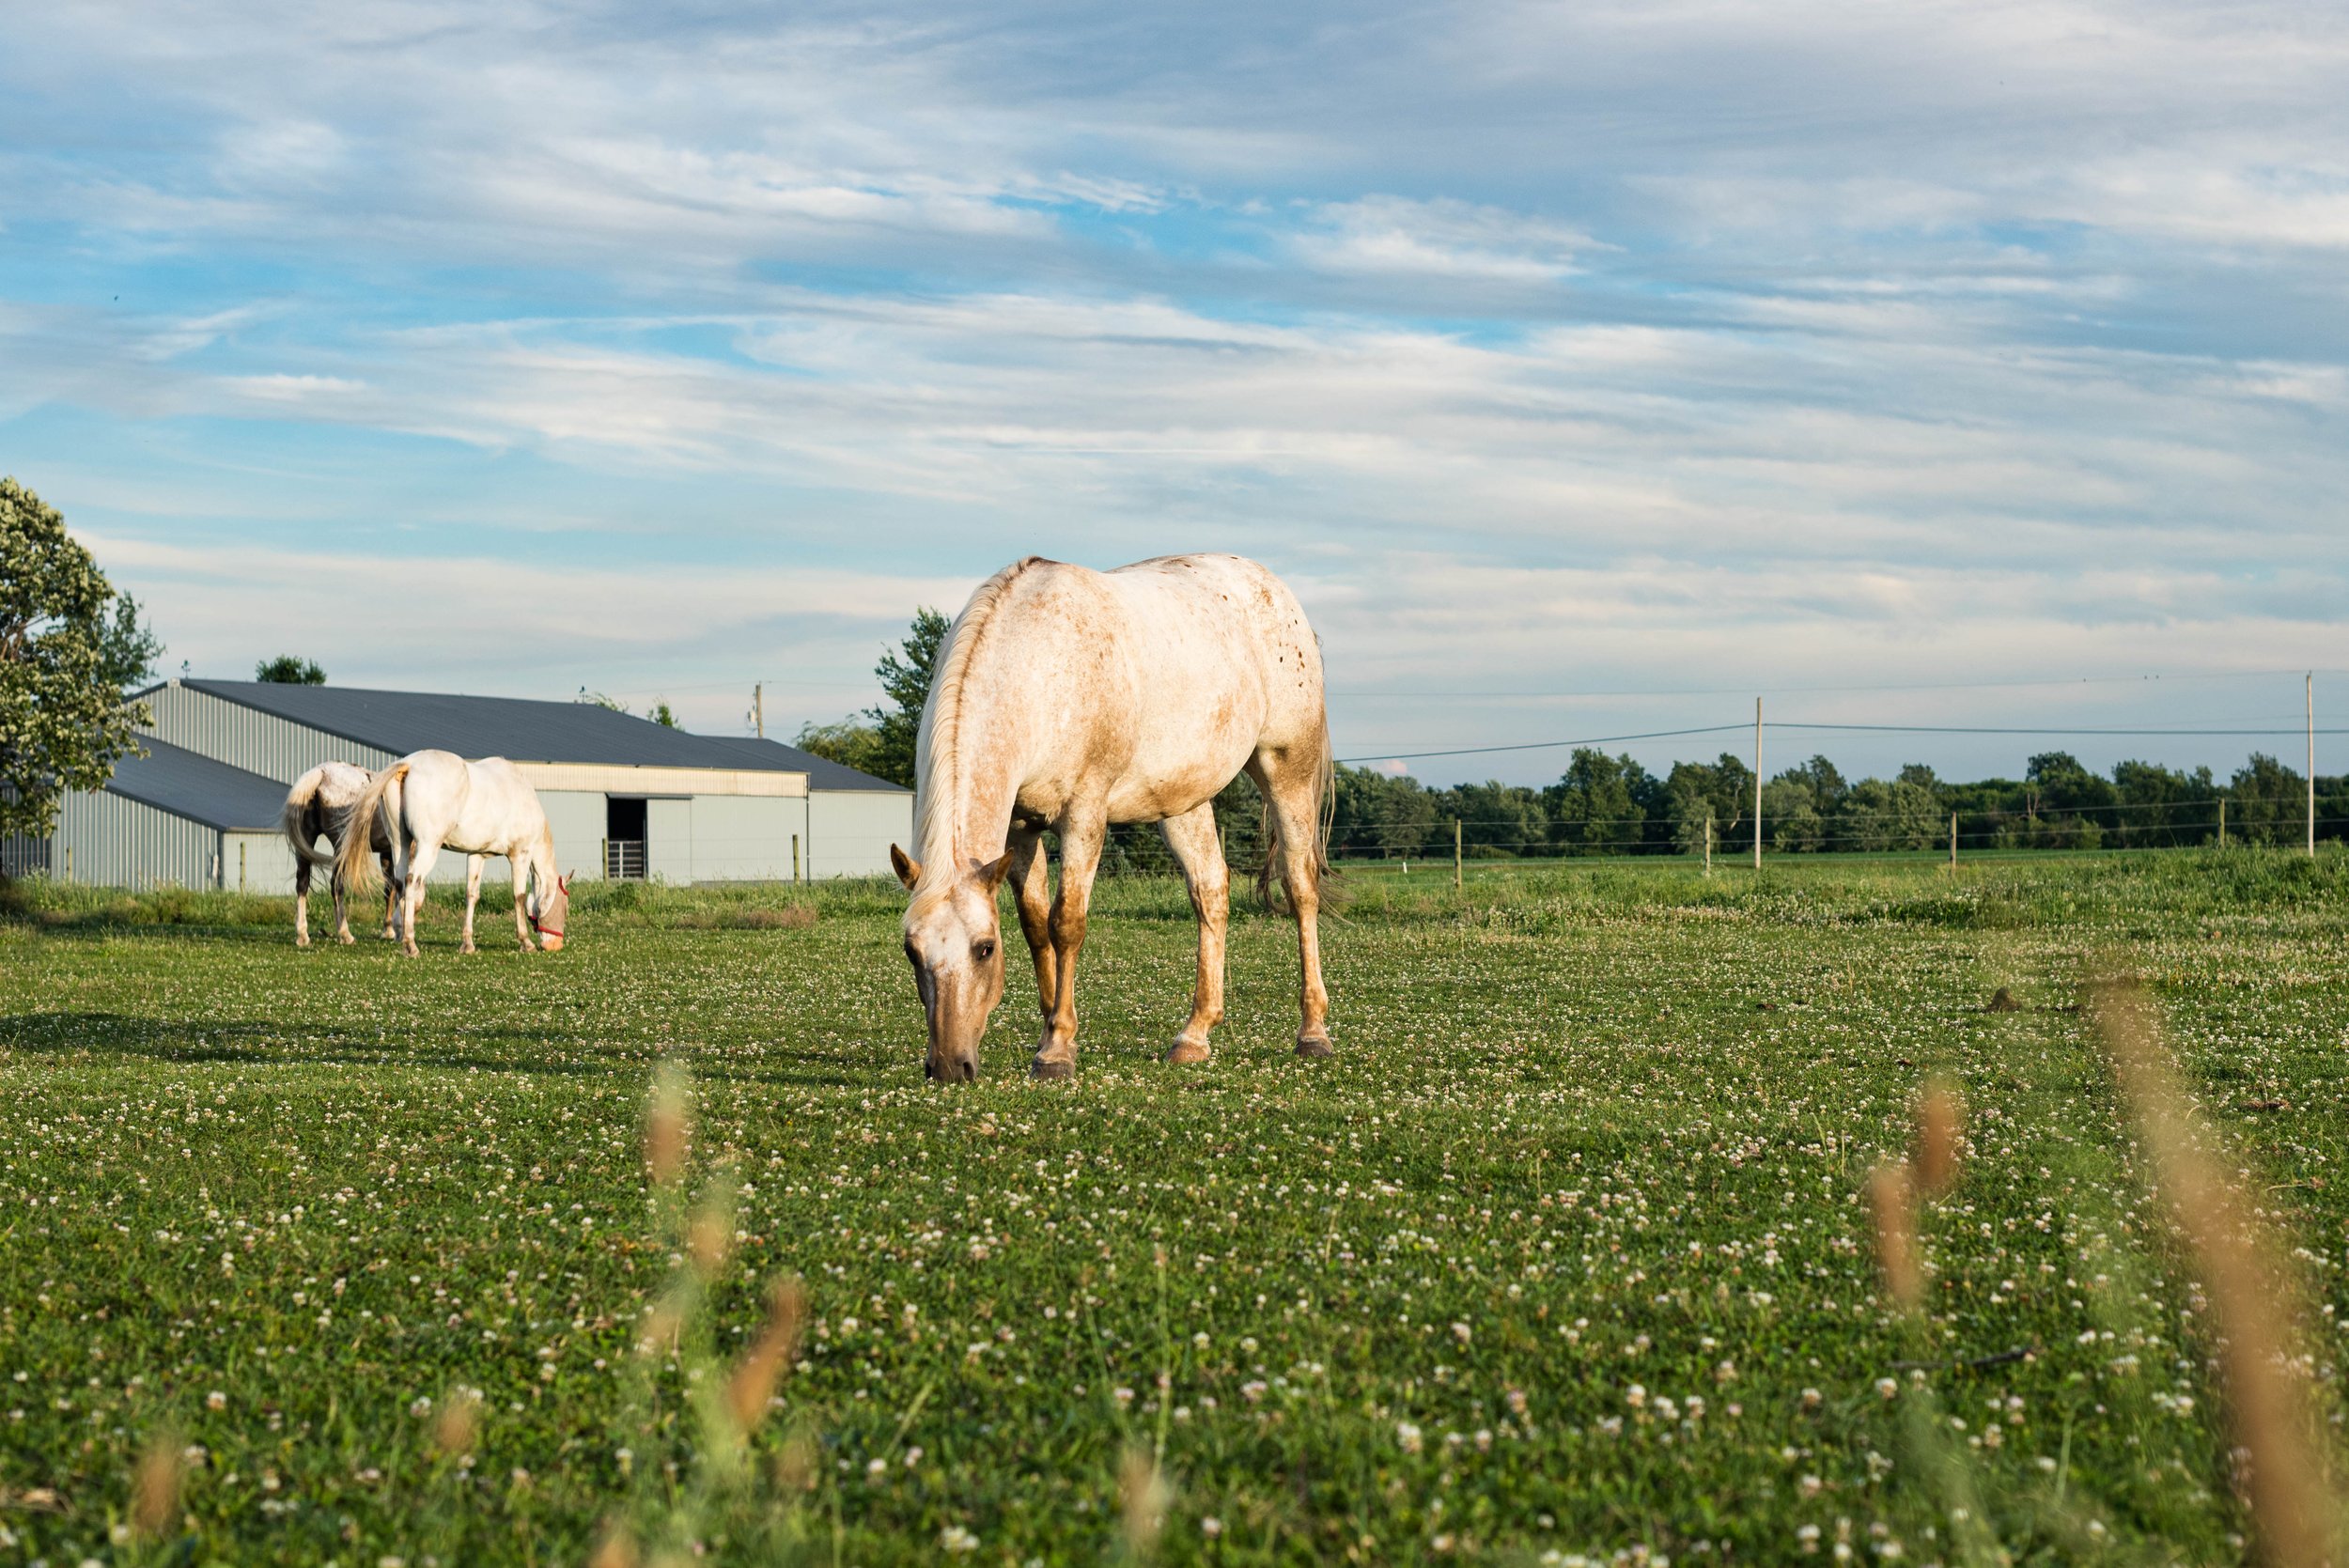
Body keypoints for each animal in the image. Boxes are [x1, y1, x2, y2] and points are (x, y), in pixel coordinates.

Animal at [279, 760, 399, 943]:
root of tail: (320, 773)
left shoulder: (386, 852)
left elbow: (389, 888)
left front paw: (388, 930)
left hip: (307, 841)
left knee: (302, 883)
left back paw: (302, 935)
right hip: (341, 847)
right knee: (336, 886)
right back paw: (344, 933)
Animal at [335, 751, 573, 957]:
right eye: (565, 907)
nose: (556, 945)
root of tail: (409, 764)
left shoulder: (477, 855)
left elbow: (471, 895)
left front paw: (467, 944)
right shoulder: (520, 855)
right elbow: (519, 896)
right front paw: (525, 942)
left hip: (399, 843)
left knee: (401, 882)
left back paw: (402, 934)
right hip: (427, 846)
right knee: (412, 880)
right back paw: (411, 944)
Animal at [893, 556, 1344, 1084]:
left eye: (984, 948)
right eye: (912, 951)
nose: (948, 1065)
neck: (1039, 667)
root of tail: (1275, 589)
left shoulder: (1084, 813)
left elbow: (1066, 922)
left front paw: (1056, 1050)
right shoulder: (1021, 828)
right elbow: (1035, 926)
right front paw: (1050, 1029)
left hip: (1287, 772)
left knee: (1300, 888)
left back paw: (1313, 1032)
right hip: (1184, 802)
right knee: (1211, 891)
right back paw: (1194, 1035)